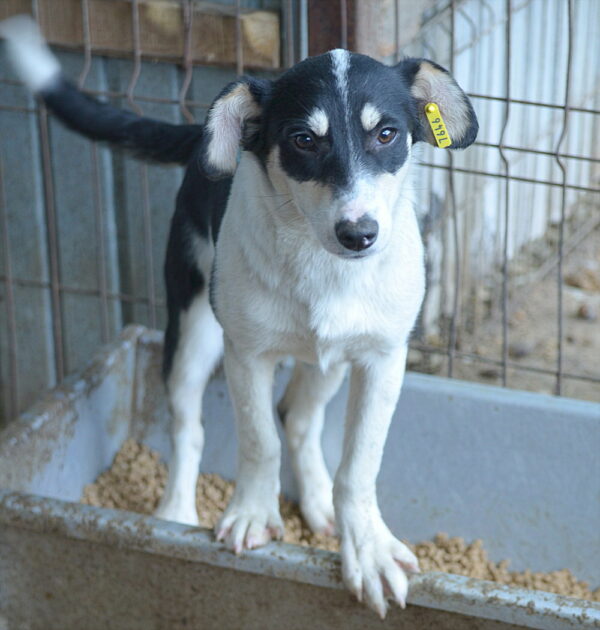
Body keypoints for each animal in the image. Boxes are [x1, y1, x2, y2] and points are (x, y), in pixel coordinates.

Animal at [1, 16, 478, 624]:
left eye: (388, 134)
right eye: (303, 140)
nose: (359, 234)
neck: (324, 267)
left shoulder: (382, 357)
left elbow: (358, 463)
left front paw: (365, 549)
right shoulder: (245, 352)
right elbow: (257, 438)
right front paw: (252, 514)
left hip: (329, 361)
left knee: (298, 417)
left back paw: (318, 505)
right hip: (192, 330)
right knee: (189, 426)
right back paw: (175, 514)